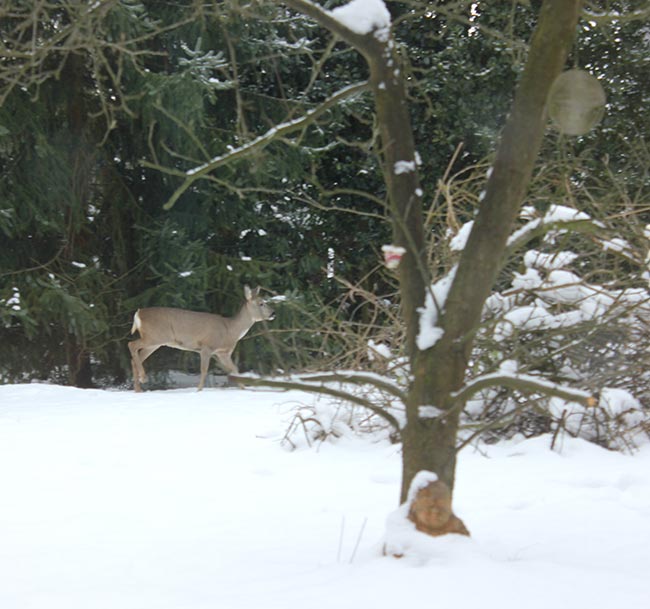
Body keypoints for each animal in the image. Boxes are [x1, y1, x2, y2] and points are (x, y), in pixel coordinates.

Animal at [129, 284, 274, 392]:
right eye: (261, 303)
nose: (273, 313)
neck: (230, 330)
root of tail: (138, 314)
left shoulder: (223, 353)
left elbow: (235, 370)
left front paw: (244, 389)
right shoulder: (206, 346)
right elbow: (204, 370)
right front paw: (198, 390)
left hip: (155, 342)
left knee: (135, 358)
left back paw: (138, 389)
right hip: (154, 336)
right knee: (131, 345)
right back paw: (143, 378)